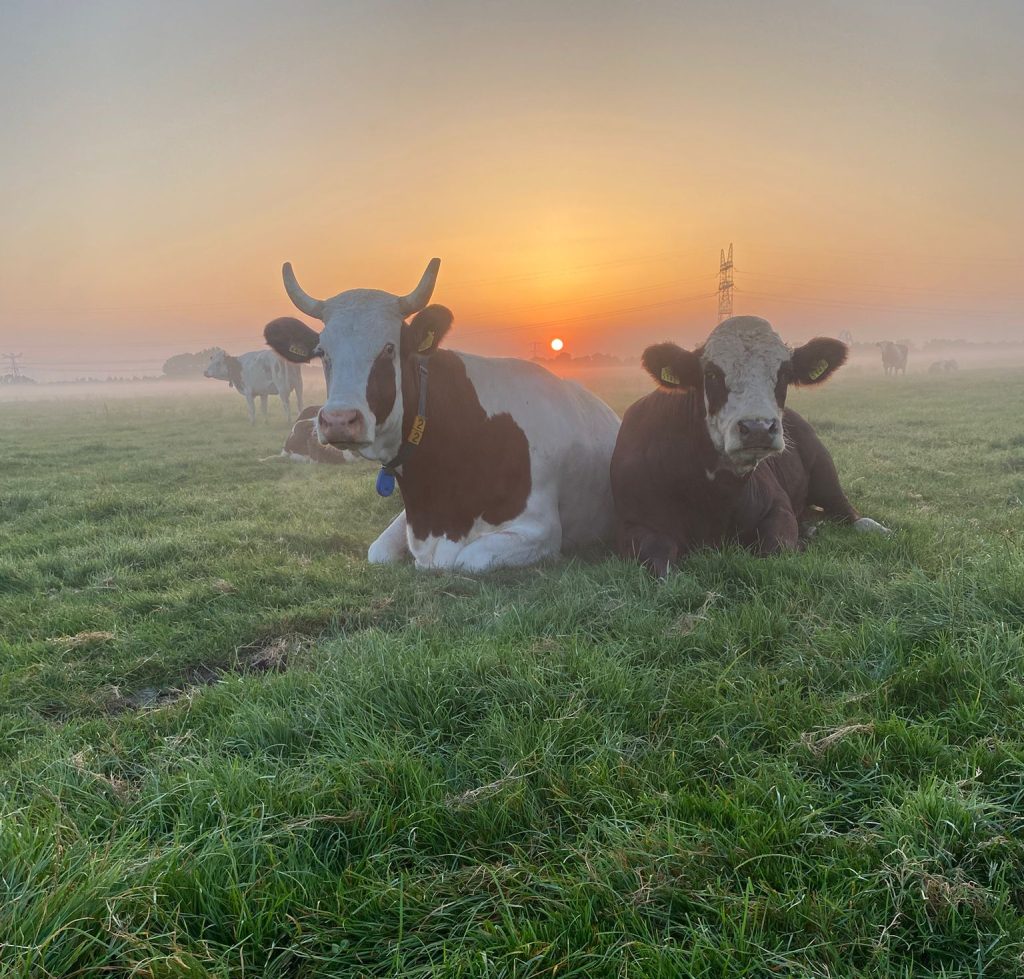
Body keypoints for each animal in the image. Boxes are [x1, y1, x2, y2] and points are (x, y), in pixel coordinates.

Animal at [263, 258, 621, 572]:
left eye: (389, 348)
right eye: (322, 352)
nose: (339, 420)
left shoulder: (540, 531)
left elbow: (470, 559)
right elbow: (378, 550)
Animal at [611, 316, 889, 577]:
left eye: (785, 374)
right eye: (711, 374)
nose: (758, 428)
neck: (713, 493)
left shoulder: (779, 507)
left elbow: (776, 549)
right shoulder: (635, 526)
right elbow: (663, 567)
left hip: (823, 470)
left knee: (846, 510)